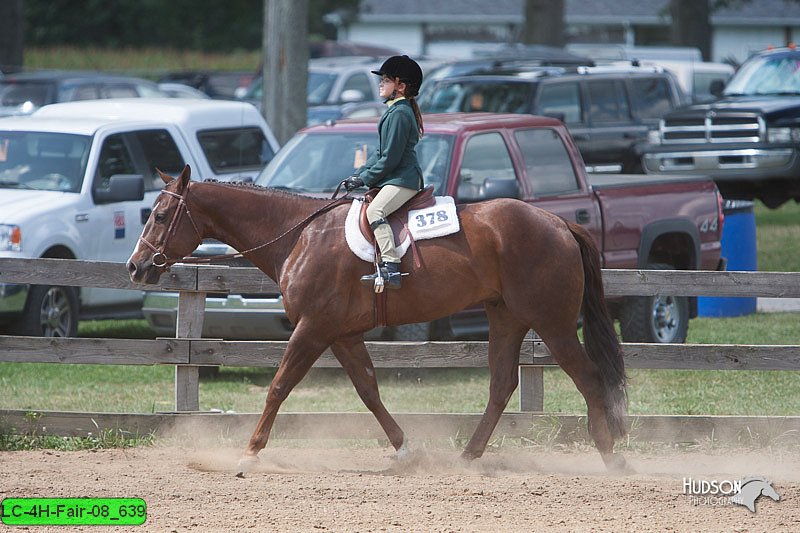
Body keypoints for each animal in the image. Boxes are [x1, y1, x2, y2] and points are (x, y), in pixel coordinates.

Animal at [128, 166, 628, 474]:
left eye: (162, 215)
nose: (136, 267)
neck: (300, 235)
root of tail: (558, 223)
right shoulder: (342, 334)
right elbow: (369, 391)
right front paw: (406, 450)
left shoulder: (312, 328)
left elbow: (279, 386)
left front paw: (250, 454)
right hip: (506, 318)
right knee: (502, 384)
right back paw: (468, 456)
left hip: (553, 323)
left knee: (588, 376)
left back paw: (609, 456)